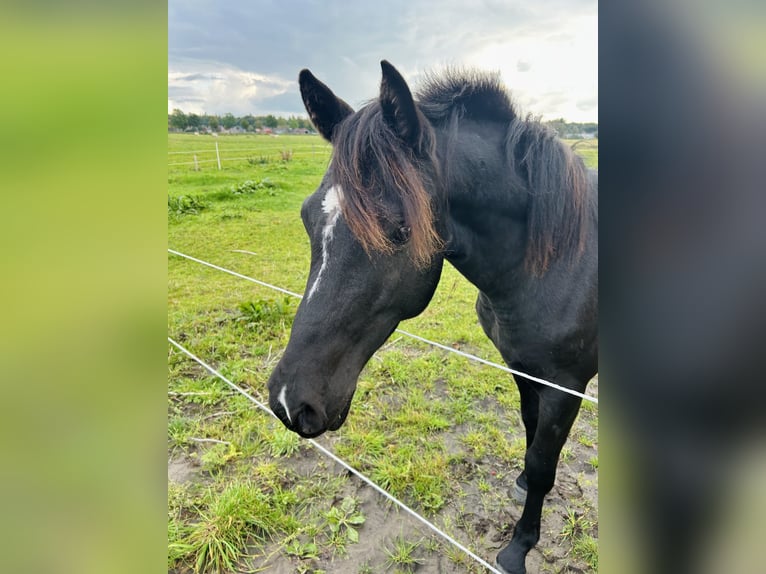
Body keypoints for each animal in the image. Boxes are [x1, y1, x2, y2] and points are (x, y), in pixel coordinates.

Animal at [270, 60, 600, 572]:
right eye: (308, 217)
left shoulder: (567, 386)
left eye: (399, 230)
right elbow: (531, 441)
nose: (289, 402)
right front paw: (523, 487)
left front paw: (518, 548)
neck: (559, 261)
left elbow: (544, 463)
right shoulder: (524, 369)